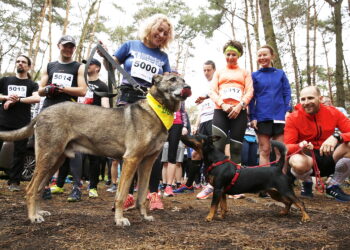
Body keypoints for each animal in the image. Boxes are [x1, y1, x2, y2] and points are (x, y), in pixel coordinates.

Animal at [0, 74, 191, 227]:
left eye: (183, 80)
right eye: (172, 79)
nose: (188, 88)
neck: (157, 110)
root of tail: (42, 113)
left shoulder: (147, 164)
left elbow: (142, 196)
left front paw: (144, 216)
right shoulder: (131, 160)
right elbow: (121, 195)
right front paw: (119, 219)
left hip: (55, 161)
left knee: (39, 188)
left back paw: (38, 212)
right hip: (47, 158)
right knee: (31, 189)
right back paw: (33, 217)